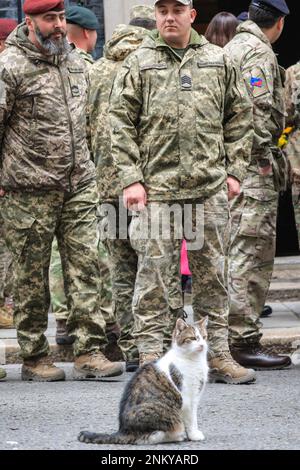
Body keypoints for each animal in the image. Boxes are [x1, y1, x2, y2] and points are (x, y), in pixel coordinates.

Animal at [77, 318, 209, 446]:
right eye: (193, 338)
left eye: (204, 337)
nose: (202, 345)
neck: (194, 360)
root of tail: (123, 430)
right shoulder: (188, 398)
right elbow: (192, 419)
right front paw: (194, 435)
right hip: (165, 415)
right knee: (150, 437)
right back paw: (176, 436)